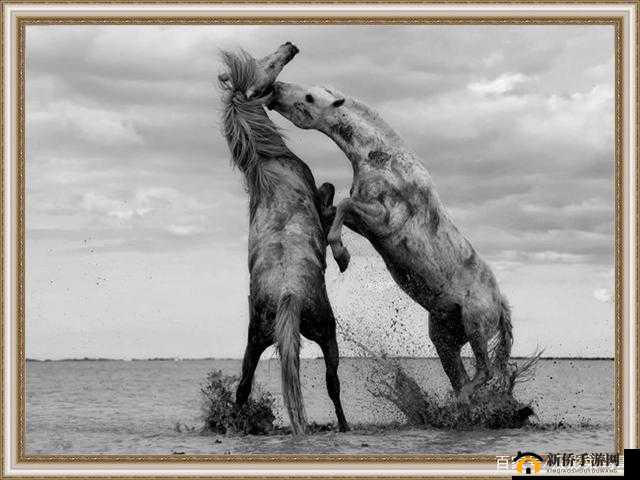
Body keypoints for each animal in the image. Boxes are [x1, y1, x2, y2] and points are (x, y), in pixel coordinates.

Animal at [218, 45, 349, 433]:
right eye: (266, 66)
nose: (290, 46)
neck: (268, 164)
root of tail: (288, 295)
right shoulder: (319, 200)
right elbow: (330, 197)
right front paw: (341, 254)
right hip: (327, 333)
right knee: (333, 383)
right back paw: (344, 425)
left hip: (257, 340)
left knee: (244, 386)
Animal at [268, 81, 513, 403]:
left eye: (309, 97)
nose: (274, 89)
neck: (383, 159)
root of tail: (500, 303)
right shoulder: (364, 222)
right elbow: (335, 207)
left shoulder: (382, 219)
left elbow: (344, 205)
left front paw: (342, 256)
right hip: (444, 336)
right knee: (460, 375)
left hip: (475, 324)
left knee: (485, 371)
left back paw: (459, 399)